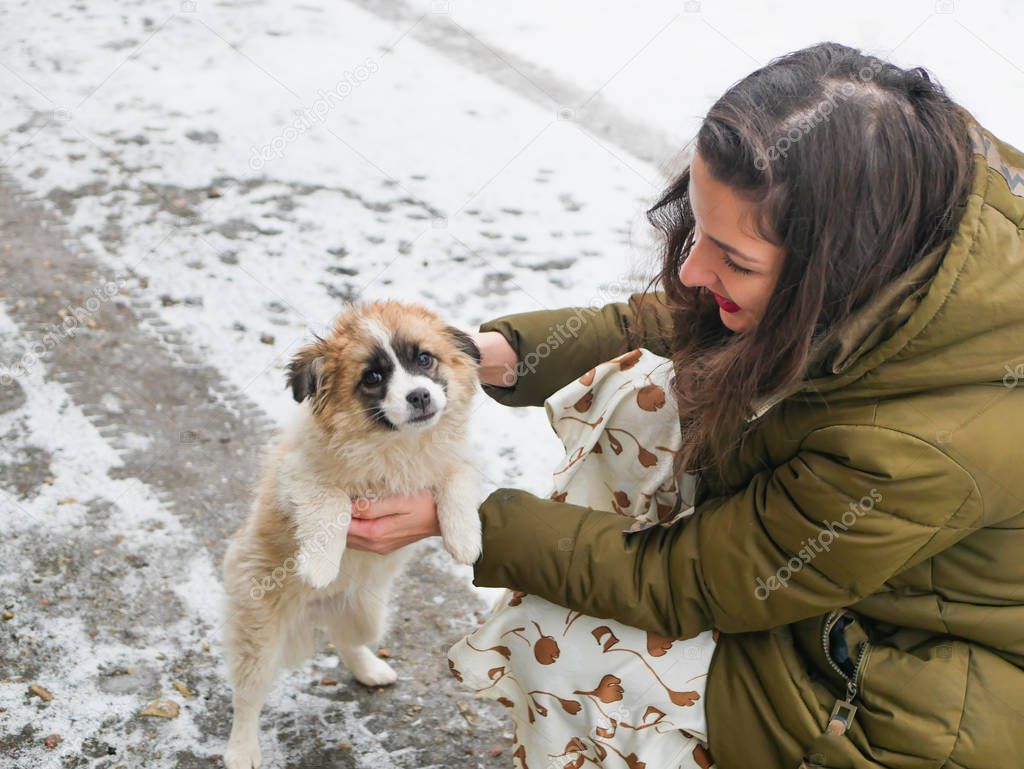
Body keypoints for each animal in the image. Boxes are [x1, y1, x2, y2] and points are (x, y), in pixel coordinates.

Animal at [221, 301, 483, 769]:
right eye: (373, 377)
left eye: (424, 359)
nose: (419, 396)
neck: (396, 444)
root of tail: (317, 609)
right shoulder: (298, 475)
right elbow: (334, 504)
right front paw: (320, 564)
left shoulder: (459, 460)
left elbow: (456, 481)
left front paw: (464, 539)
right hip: (259, 631)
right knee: (247, 696)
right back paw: (242, 750)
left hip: (368, 613)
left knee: (347, 641)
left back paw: (370, 669)